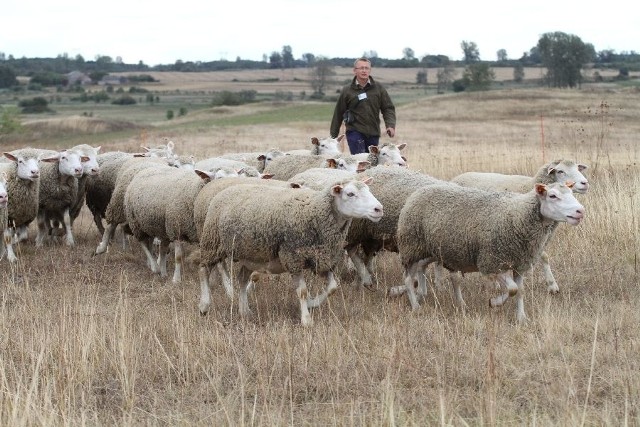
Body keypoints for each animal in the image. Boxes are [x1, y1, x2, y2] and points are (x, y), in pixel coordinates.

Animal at [198, 177, 382, 328]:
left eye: (368, 190)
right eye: (350, 194)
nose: (378, 209)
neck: (316, 211)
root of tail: (225, 190)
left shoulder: (323, 259)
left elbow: (332, 287)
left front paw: (312, 303)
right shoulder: (293, 257)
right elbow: (302, 291)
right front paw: (306, 320)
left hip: (250, 255)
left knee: (242, 279)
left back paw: (245, 311)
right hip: (212, 243)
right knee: (204, 270)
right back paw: (204, 306)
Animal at [396, 182, 584, 322]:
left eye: (572, 192)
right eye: (552, 196)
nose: (580, 211)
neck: (518, 215)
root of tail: (418, 192)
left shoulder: (519, 264)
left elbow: (520, 290)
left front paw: (521, 317)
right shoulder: (492, 262)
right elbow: (512, 289)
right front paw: (494, 302)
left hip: (432, 251)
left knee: (429, 271)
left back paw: (444, 299)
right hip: (411, 247)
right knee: (408, 278)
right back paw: (416, 306)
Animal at [450, 159, 592, 296]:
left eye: (578, 168)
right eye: (560, 171)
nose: (585, 183)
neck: (529, 186)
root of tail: (458, 177)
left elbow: (544, 257)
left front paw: (552, 286)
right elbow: (543, 256)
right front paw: (552, 286)